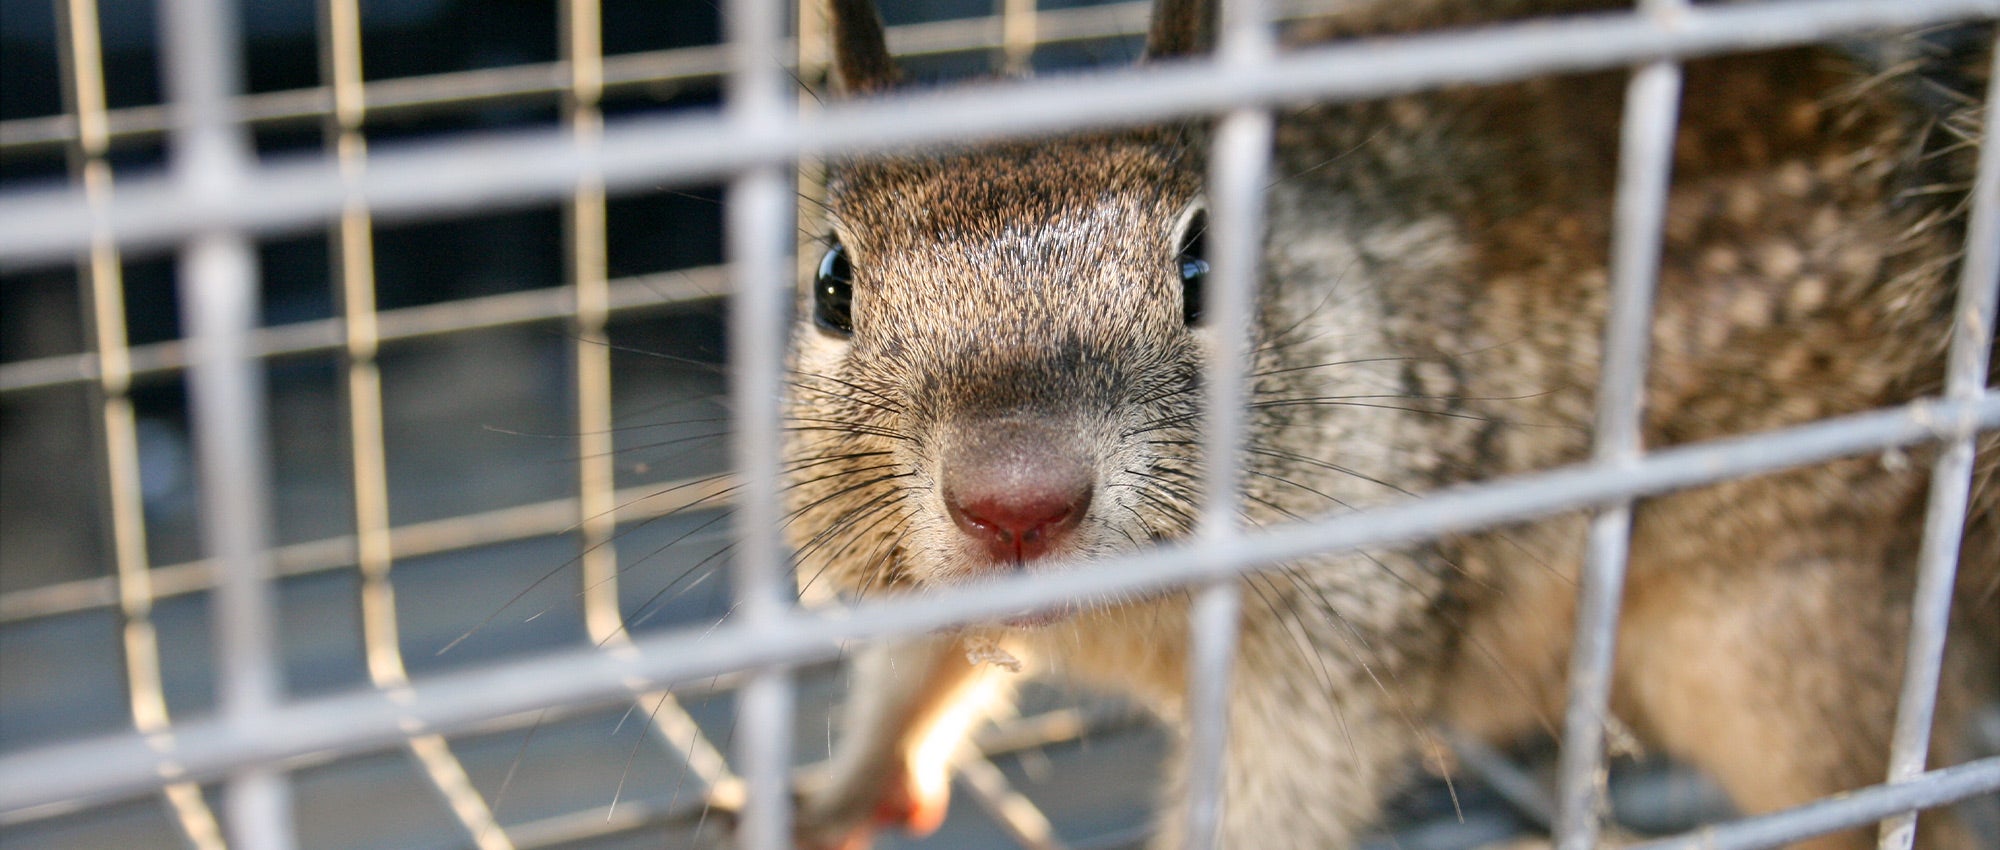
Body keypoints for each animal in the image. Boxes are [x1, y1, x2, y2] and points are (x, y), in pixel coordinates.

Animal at [772, 0, 1992, 844]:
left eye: (1205, 269)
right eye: (831, 284)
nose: (1015, 498)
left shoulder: (1348, 637)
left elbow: (1278, 800)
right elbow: (905, 675)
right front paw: (834, 794)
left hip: (1787, 634)